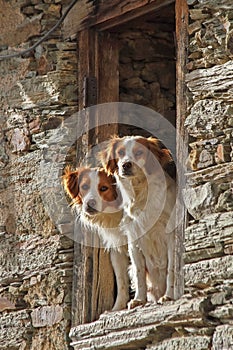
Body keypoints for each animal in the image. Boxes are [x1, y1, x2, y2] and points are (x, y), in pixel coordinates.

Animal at [62, 167, 129, 312]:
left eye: (104, 188)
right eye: (84, 187)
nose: (90, 203)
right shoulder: (117, 250)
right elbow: (121, 280)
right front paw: (118, 308)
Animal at [99, 135, 177, 308]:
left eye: (139, 152)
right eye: (120, 152)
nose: (125, 165)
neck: (141, 193)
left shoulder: (171, 235)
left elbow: (171, 269)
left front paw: (169, 296)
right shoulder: (134, 238)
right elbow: (139, 271)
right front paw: (139, 299)